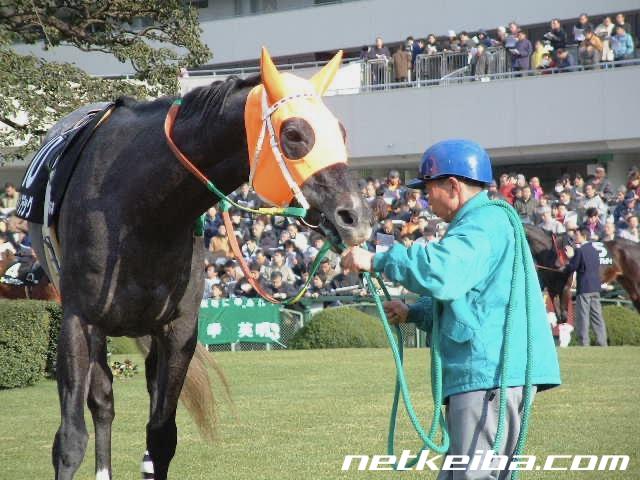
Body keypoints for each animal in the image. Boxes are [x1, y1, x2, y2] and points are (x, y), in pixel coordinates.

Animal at [27, 49, 372, 480]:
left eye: (340, 132)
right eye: (294, 134)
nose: (355, 216)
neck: (138, 207)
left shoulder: (178, 330)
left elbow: (161, 438)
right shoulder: (79, 320)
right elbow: (71, 438)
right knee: (102, 400)